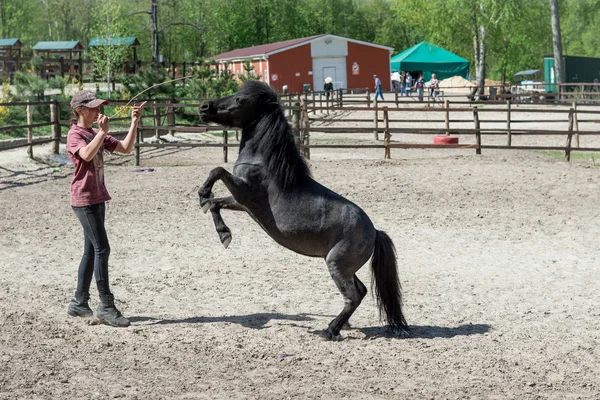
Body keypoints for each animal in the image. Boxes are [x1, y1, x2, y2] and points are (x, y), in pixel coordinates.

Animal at [197, 81, 408, 340]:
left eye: (240, 99)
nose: (204, 107)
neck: (264, 163)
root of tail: (374, 232)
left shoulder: (244, 191)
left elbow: (217, 171)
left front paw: (203, 195)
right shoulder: (243, 204)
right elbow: (216, 204)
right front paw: (224, 233)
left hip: (336, 265)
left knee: (353, 296)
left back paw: (329, 330)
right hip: (346, 268)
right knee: (360, 291)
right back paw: (338, 326)